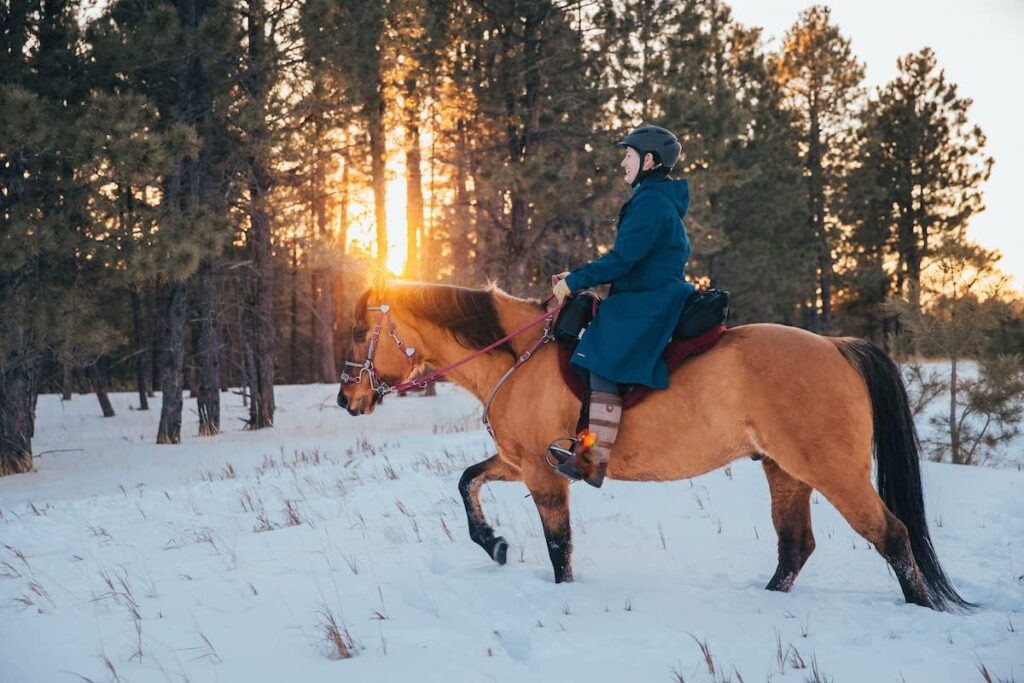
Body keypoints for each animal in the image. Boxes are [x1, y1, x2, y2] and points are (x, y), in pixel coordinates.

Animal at [339, 280, 970, 610]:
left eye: (359, 331)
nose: (347, 398)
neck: (517, 357)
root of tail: (837, 346)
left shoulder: (544, 475)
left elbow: (559, 548)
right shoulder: (523, 464)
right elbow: (467, 481)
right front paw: (491, 542)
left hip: (832, 471)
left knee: (891, 536)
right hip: (785, 471)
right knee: (796, 547)